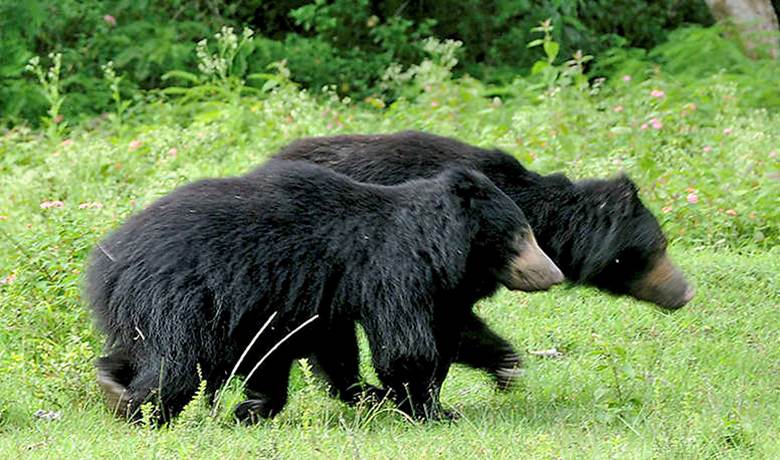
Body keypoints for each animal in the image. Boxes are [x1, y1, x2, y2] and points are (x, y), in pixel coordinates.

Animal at [87, 159, 564, 423]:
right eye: (521, 236)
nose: (555, 274)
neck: (437, 246)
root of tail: (105, 261)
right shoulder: (392, 273)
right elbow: (405, 346)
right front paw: (426, 407)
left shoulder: (324, 295)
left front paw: (506, 368)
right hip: (180, 297)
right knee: (176, 363)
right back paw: (136, 407)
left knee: (145, 351)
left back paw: (114, 383)